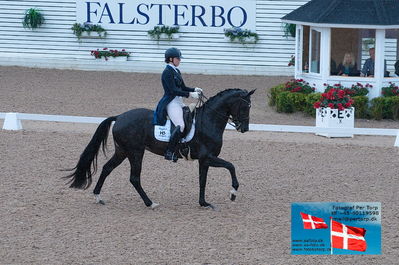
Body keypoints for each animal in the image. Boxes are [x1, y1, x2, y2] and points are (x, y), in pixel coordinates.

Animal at [64, 88, 255, 208]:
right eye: (246, 106)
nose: (244, 128)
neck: (209, 121)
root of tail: (119, 117)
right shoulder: (208, 157)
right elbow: (231, 166)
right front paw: (233, 193)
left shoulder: (204, 160)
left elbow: (203, 181)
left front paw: (204, 203)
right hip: (135, 152)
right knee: (134, 178)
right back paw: (150, 203)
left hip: (122, 151)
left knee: (106, 169)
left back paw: (98, 197)